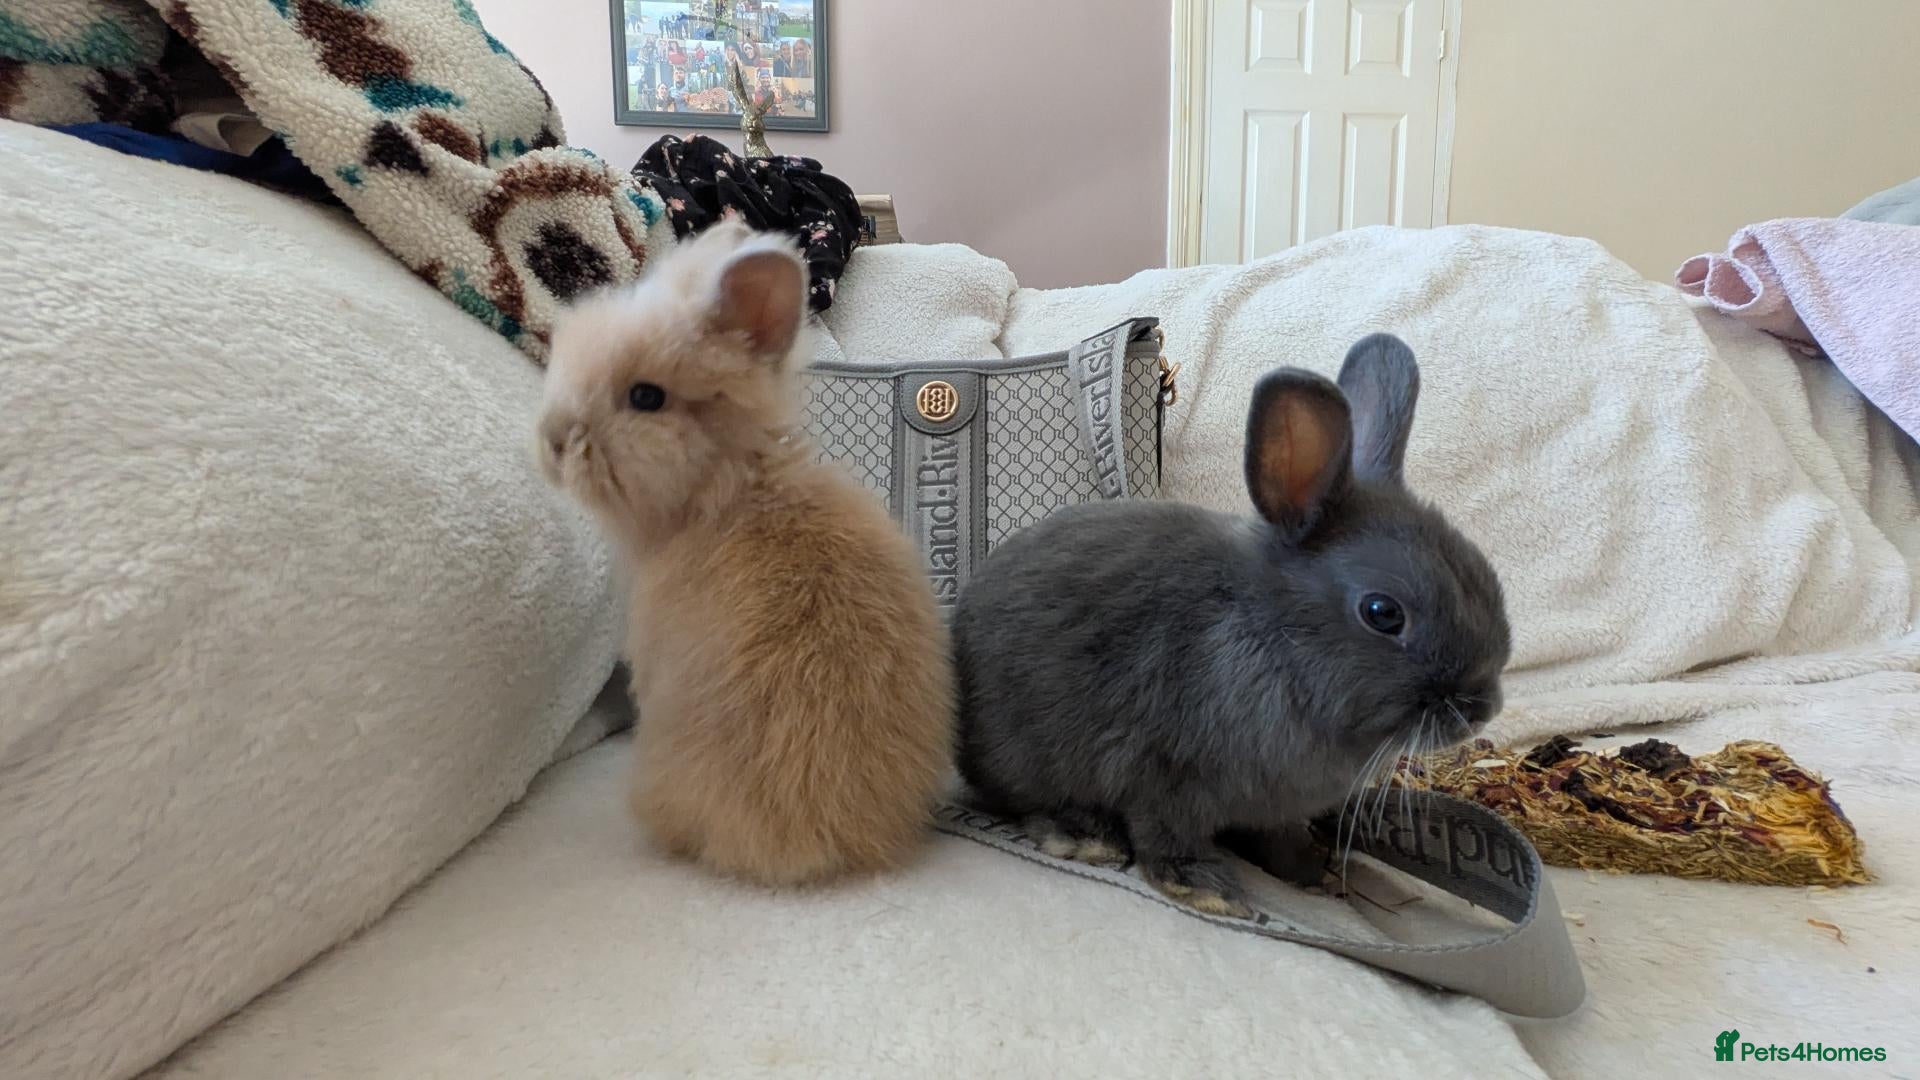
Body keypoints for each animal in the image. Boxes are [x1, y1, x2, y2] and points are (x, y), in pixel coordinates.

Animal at [951, 333, 1511, 918]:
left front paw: (1308, 872)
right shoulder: (1162, 776)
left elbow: (1279, 838)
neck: (1275, 641)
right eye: (1383, 613)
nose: (1481, 709)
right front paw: (1205, 889)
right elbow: (1164, 835)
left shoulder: (1274, 806)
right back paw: (1084, 838)